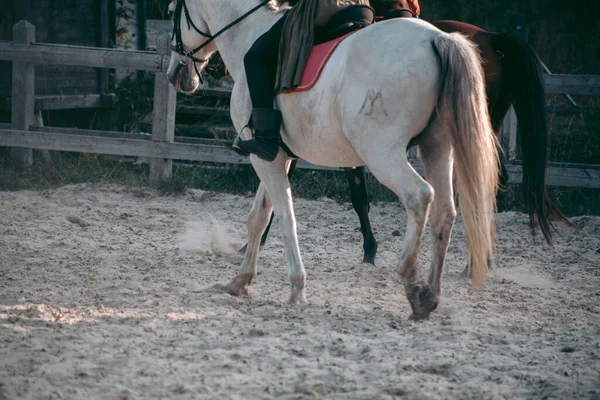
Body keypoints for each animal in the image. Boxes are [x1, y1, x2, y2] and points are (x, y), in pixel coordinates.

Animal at [166, 0, 500, 318]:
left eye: (171, 12)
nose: (174, 76)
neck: (249, 31)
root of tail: (437, 38)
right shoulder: (277, 156)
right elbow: (259, 216)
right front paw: (240, 280)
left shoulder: (266, 160)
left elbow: (285, 218)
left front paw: (296, 290)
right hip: (437, 148)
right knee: (445, 212)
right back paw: (430, 295)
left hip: (382, 153)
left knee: (419, 197)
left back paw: (410, 281)